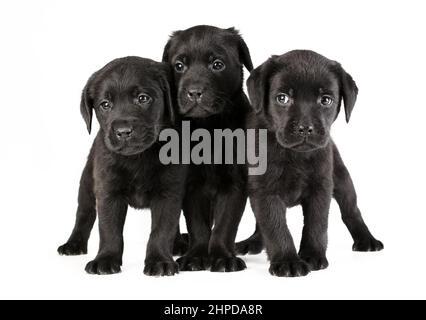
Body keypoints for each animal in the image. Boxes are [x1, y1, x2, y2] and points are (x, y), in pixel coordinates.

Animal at [56, 57, 186, 276]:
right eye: (105, 104)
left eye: (143, 98)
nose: (123, 131)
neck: (139, 157)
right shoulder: (108, 191)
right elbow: (109, 230)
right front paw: (105, 259)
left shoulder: (169, 192)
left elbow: (162, 229)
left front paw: (160, 260)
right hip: (87, 184)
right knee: (84, 214)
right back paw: (73, 244)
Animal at [163, 25, 253, 272]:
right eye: (179, 66)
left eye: (217, 65)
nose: (194, 92)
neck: (209, 127)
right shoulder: (190, 184)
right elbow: (198, 224)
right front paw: (196, 256)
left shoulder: (235, 182)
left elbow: (225, 224)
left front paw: (222, 257)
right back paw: (177, 243)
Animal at [243, 51, 382, 276]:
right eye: (282, 98)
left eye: (326, 100)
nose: (305, 128)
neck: (294, 156)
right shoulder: (265, 192)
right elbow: (274, 226)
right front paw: (287, 260)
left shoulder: (321, 188)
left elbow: (316, 225)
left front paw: (312, 256)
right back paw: (252, 243)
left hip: (342, 181)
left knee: (352, 211)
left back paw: (366, 240)